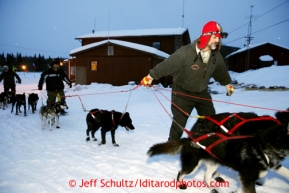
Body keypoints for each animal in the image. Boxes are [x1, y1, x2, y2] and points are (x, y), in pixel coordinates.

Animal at [147, 111, 288, 193]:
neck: (262, 146)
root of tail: (190, 138)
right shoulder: (247, 178)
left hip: (213, 163)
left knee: (206, 176)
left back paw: (213, 188)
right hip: (192, 165)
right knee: (180, 173)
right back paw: (181, 185)